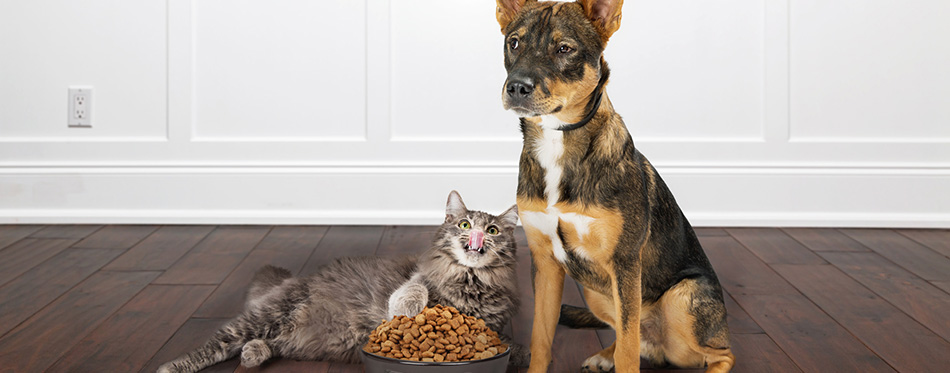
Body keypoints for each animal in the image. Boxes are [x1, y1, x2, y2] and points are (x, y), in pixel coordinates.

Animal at [158, 190, 528, 370]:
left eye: (493, 230)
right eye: (464, 225)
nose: (478, 235)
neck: (469, 281)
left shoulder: (493, 325)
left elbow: (512, 346)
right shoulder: (420, 276)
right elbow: (414, 289)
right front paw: (409, 308)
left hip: (288, 334)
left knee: (268, 343)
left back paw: (253, 354)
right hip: (265, 315)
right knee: (214, 345)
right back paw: (170, 368)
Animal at [494, 1, 740, 370]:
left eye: (564, 49)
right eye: (514, 42)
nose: (517, 88)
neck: (557, 141)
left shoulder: (624, 263)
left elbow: (627, 349)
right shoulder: (546, 264)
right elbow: (541, 338)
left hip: (681, 298)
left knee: (718, 353)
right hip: (597, 293)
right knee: (637, 337)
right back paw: (604, 355)